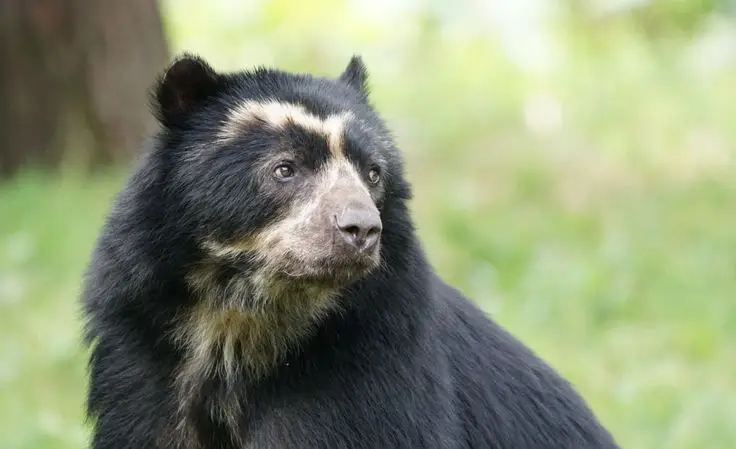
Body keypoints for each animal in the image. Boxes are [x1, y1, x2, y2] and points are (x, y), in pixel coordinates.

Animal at [80, 53, 621, 449]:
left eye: (373, 173)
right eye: (285, 169)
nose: (362, 228)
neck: (241, 319)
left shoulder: (366, 364)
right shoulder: (143, 359)